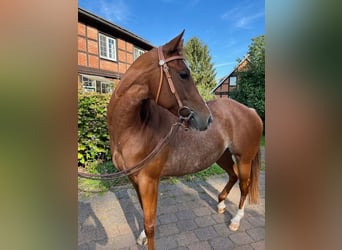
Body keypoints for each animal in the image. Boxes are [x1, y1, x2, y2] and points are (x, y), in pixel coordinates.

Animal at [108, 31, 264, 250]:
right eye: (183, 74)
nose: (207, 118)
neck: (136, 127)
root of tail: (250, 110)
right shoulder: (134, 179)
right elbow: (143, 213)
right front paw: (141, 237)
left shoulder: (149, 181)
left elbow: (150, 223)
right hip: (222, 156)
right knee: (232, 176)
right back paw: (221, 203)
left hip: (244, 159)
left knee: (244, 185)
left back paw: (235, 220)